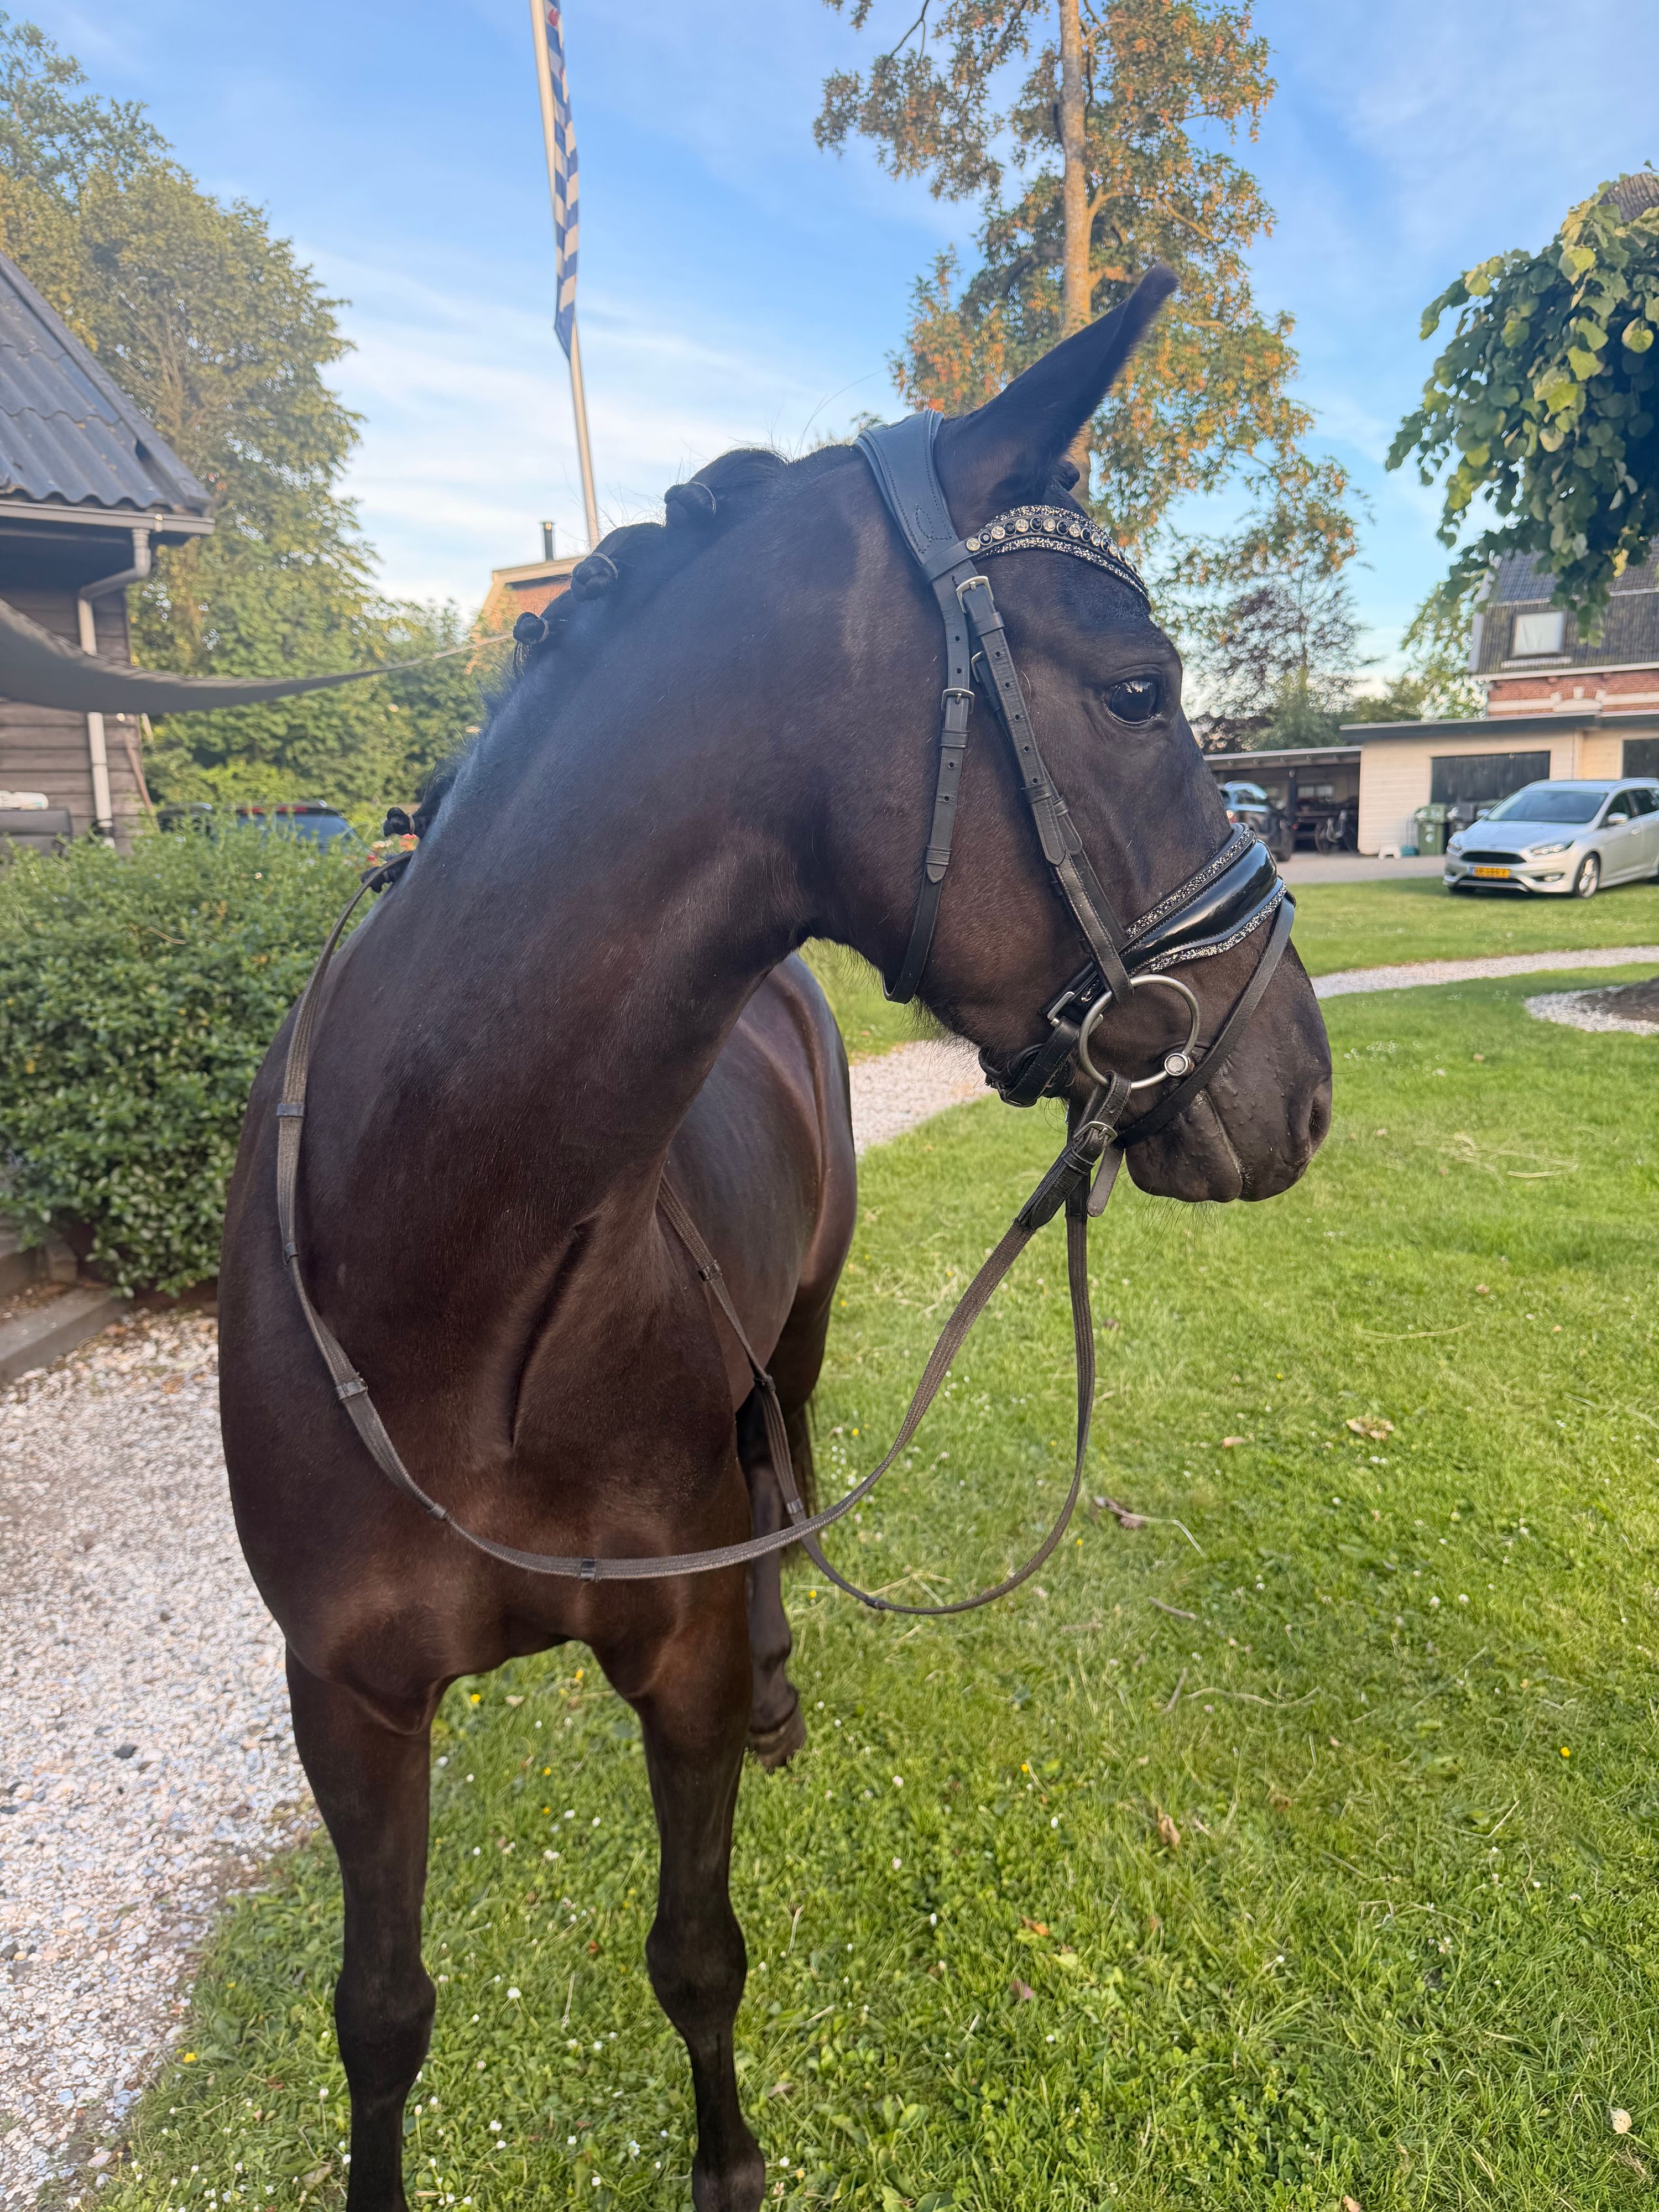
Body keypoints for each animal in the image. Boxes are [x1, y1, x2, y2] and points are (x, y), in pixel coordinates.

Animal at [218, 270, 1332, 2212]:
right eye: (1136, 691)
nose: (1303, 1088)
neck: (441, 1269)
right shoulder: (346, 1704)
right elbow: (380, 2013)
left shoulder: (667, 1661)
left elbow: (696, 1947)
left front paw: (728, 2161)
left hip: (797, 1336)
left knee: (780, 1481)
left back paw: (786, 1688)